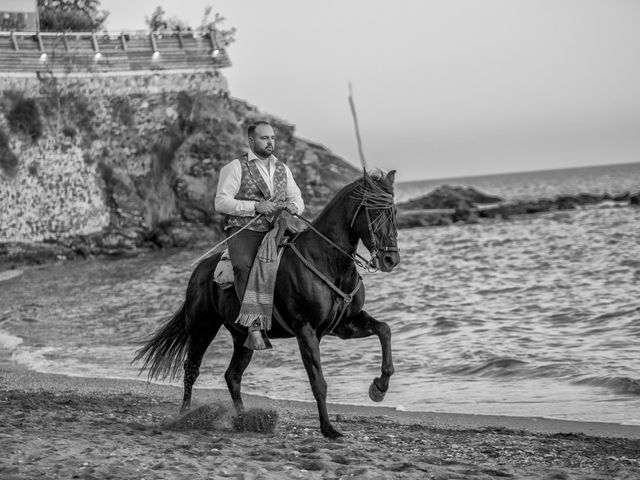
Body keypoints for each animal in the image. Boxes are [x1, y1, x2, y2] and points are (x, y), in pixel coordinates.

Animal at [135, 170, 400, 438]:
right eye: (374, 211)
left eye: (393, 211)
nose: (391, 259)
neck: (326, 261)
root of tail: (199, 271)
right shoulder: (306, 330)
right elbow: (318, 382)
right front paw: (328, 428)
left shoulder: (344, 324)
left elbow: (384, 330)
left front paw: (379, 387)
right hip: (202, 328)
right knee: (191, 369)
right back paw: (186, 416)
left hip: (242, 338)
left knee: (232, 376)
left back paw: (245, 419)